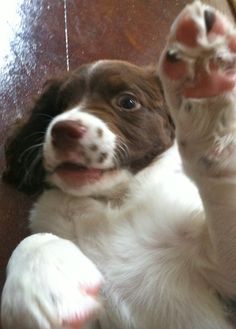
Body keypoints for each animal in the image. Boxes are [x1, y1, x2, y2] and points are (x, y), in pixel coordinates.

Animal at [1, 1, 236, 326]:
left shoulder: (221, 267)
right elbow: (34, 238)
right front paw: (41, 287)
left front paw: (204, 77)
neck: (113, 200)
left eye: (127, 102)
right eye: (59, 106)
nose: (63, 130)